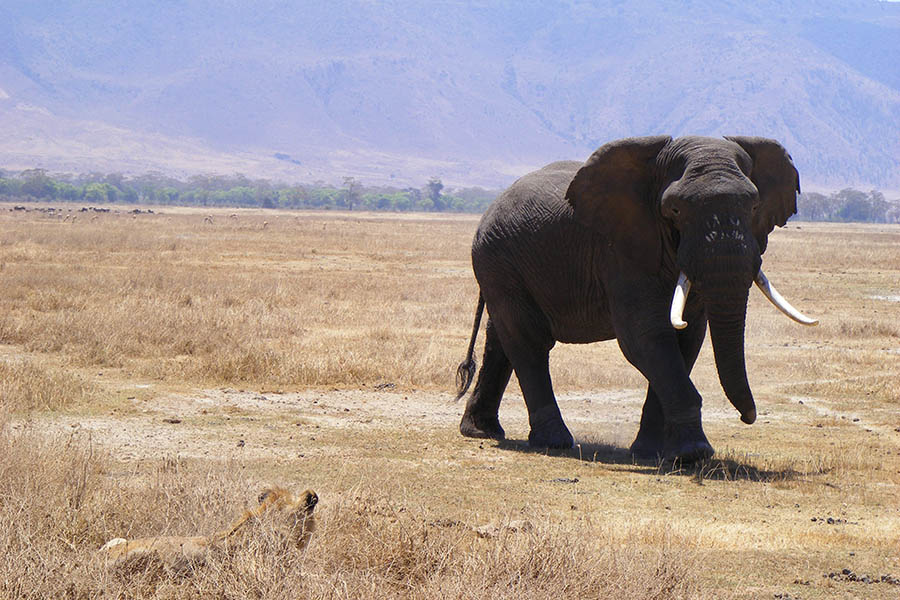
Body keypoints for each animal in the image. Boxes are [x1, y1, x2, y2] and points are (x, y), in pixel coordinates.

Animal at [458, 137, 816, 464]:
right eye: (675, 210)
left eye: (754, 208)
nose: (748, 417)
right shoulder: (619, 251)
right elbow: (645, 337)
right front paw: (695, 454)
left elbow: (686, 340)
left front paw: (651, 453)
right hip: (497, 259)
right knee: (528, 341)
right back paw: (554, 442)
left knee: (501, 340)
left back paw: (482, 431)